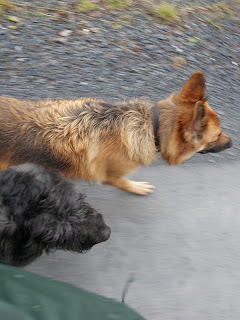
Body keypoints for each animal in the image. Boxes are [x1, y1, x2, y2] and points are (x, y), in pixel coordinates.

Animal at [0, 71, 232, 194]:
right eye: (217, 135)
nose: (232, 142)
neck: (152, 126)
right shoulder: (109, 175)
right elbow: (121, 181)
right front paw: (136, 187)